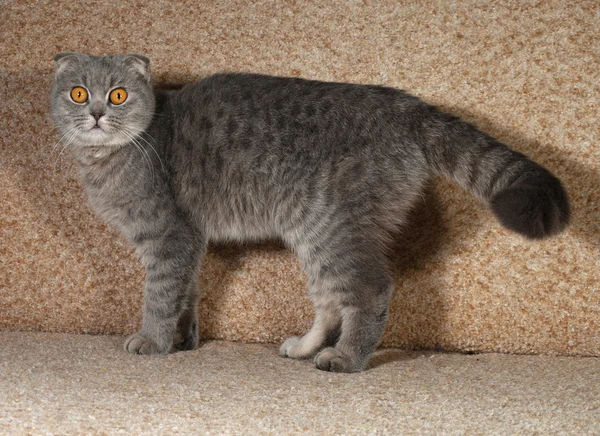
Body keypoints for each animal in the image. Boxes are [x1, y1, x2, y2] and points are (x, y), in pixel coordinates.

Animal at [50, 52, 568, 372]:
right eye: (78, 93)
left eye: (118, 94)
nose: (96, 113)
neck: (111, 158)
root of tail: (406, 106)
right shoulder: (188, 243)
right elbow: (186, 294)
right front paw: (185, 338)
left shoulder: (168, 237)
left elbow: (159, 297)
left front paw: (153, 341)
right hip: (313, 232)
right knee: (329, 300)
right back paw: (305, 347)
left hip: (334, 227)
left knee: (368, 292)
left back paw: (347, 358)